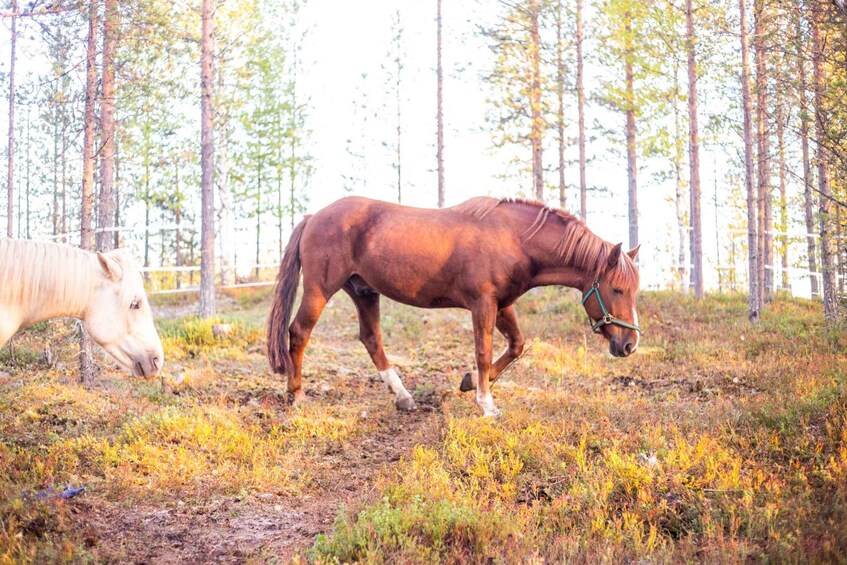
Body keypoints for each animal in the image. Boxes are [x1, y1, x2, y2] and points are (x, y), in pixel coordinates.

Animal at [268, 196, 640, 416]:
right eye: (618, 289)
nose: (630, 344)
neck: (514, 238)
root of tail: (314, 216)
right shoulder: (483, 305)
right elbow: (483, 351)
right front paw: (486, 403)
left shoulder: (502, 304)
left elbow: (516, 346)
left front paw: (469, 381)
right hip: (320, 290)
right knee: (298, 332)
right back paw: (296, 394)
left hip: (364, 292)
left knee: (371, 339)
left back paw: (402, 396)